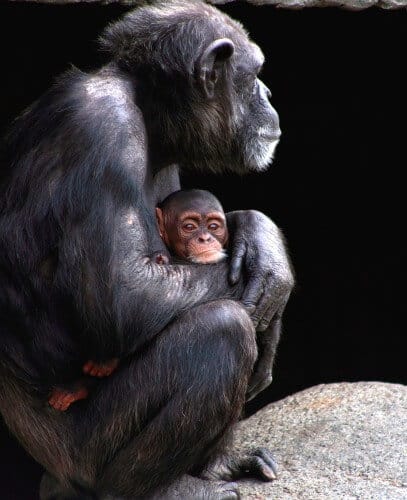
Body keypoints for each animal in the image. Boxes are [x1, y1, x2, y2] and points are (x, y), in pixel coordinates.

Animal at [0, 1, 294, 498]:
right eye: (254, 74)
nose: (269, 92)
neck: (146, 110)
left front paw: (261, 240)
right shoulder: (101, 130)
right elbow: (127, 295)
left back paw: (218, 465)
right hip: (81, 452)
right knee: (223, 329)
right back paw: (161, 488)